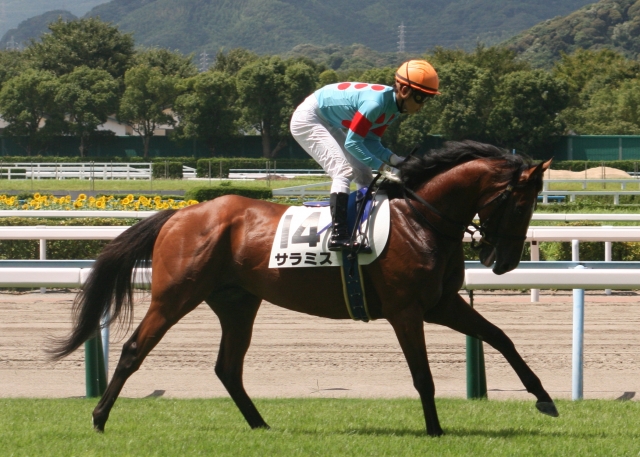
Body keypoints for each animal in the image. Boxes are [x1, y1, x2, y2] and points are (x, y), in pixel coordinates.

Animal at [49, 140, 555, 437]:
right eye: (520, 204)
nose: (503, 262)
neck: (421, 220)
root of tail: (180, 213)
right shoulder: (407, 310)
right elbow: (423, 375)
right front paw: (434, 431)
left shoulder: (441, 304)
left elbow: (501, 337)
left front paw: (544, 398)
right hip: (176, 295)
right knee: (135, 349)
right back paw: (99, 418)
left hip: (238, 302)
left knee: (227, 367)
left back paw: (261, 426)